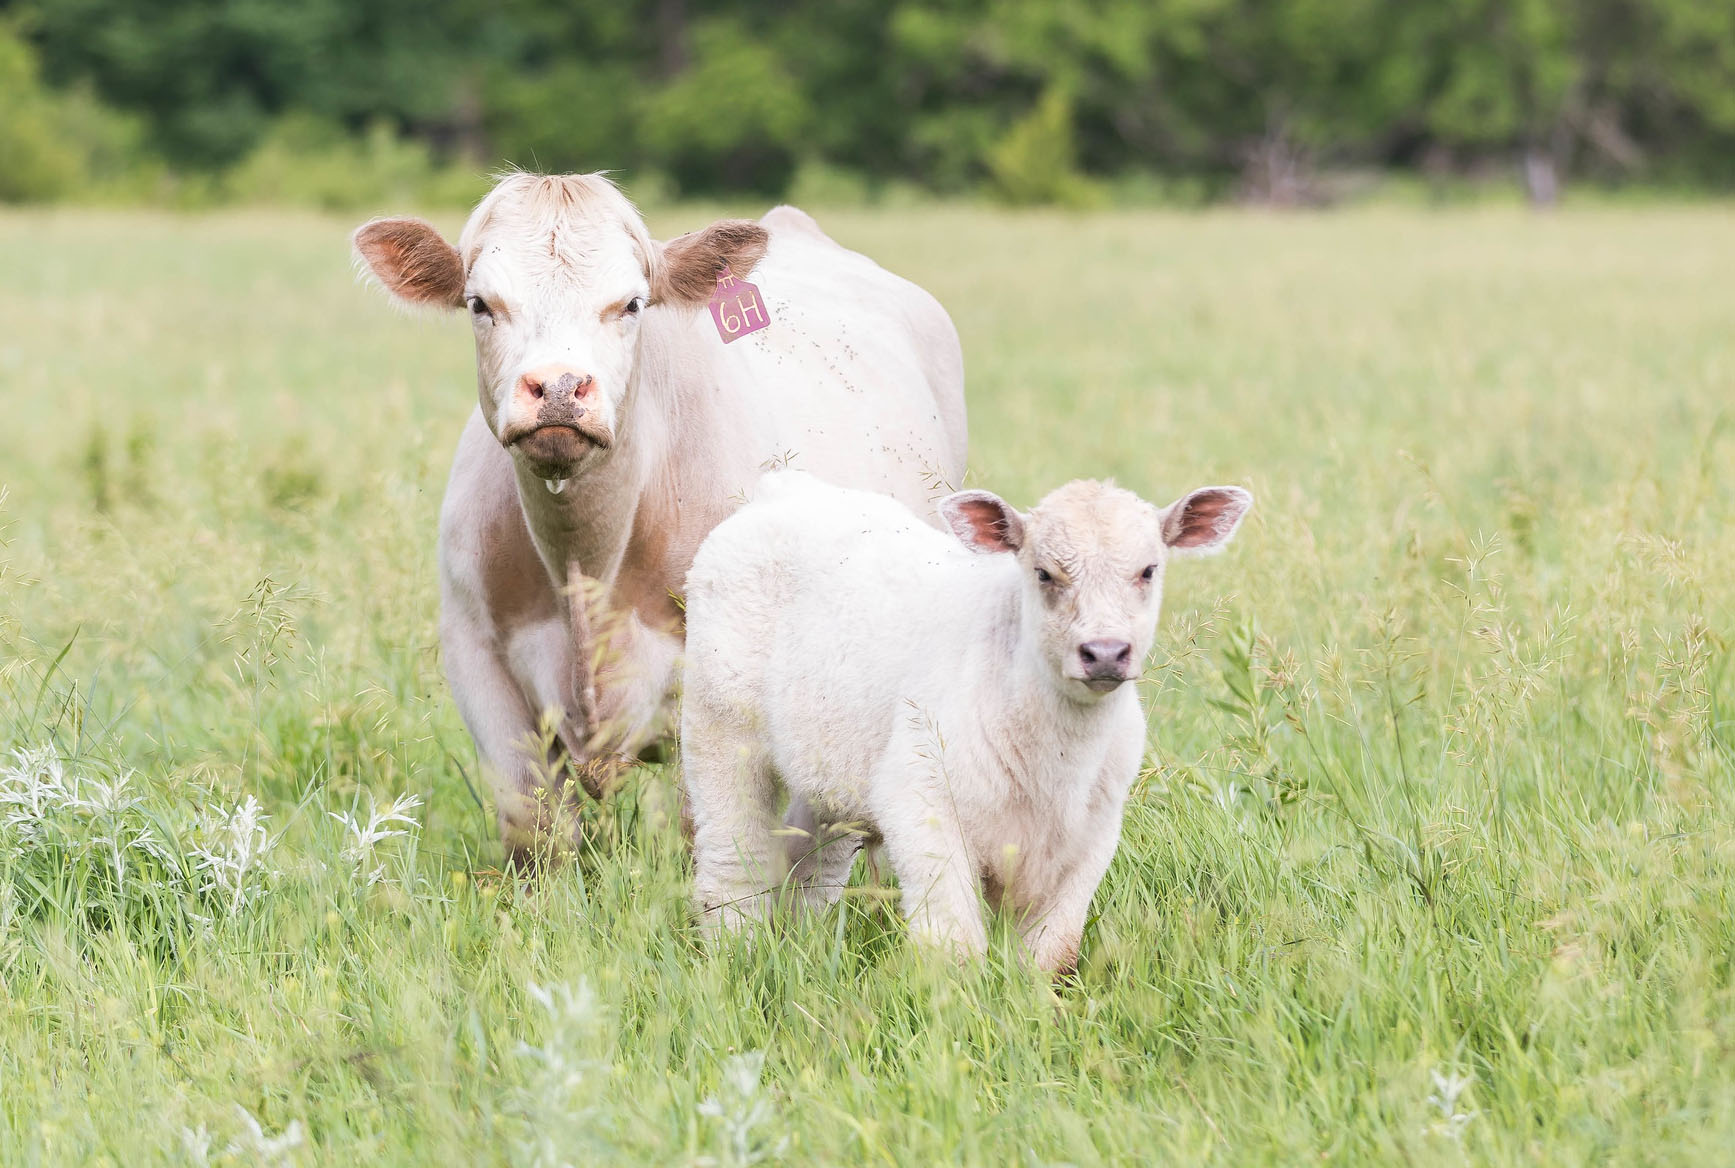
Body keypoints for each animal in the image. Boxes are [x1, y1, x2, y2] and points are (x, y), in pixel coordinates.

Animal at [353, 173, 966, 863]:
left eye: (631, 305)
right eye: (481, 304)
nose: (559, 387)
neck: (584, 563)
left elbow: (708, 836)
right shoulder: (477, 658)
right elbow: (534, 832)